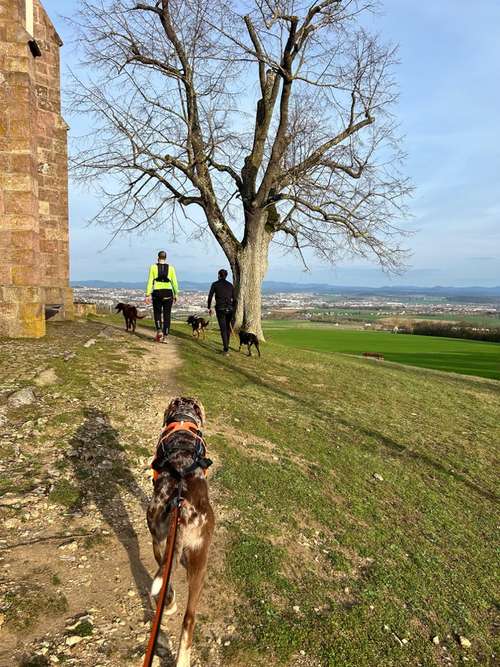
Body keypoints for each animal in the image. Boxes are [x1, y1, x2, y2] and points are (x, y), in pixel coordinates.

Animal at [146, 400, 213, 664]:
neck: (184, 422)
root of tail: (183, 514)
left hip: (158, 539)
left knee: (167, 584)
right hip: (199, 567)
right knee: (189, 619)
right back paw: (183, 660)